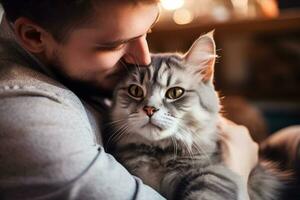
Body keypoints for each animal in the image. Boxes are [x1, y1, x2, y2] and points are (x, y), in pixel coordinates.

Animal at [106, 32, 284, 200]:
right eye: (135, 91)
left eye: (175, 93)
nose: (150, 109)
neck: (159, 154)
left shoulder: (216, 172)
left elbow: (206, 194)